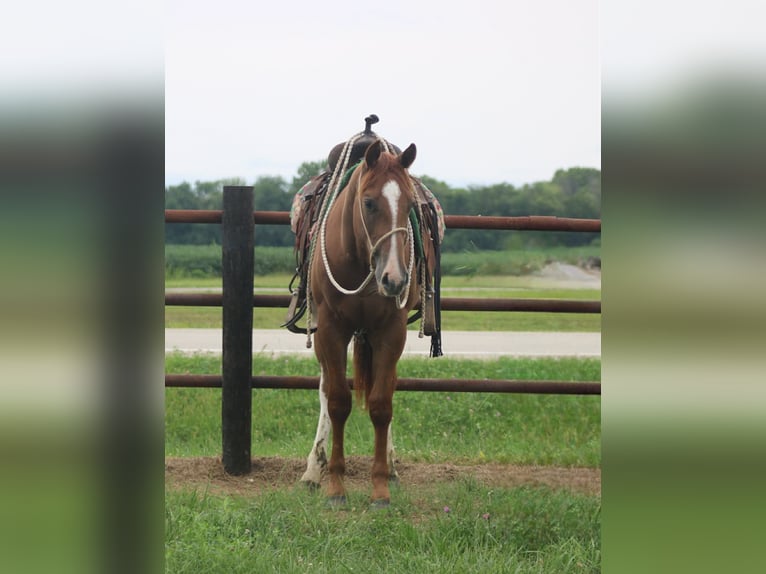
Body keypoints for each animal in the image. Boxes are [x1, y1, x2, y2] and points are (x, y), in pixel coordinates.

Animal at [299, 139, 434, 507]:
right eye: (369, 202)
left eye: (409, 205)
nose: (395, 279)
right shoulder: (331, 331)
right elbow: (337, 402)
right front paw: (335, 488)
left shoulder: (391, 332)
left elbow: (381, 405)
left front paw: (380, 489)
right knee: (324, 390)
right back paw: (313, 470)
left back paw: (391, 466)